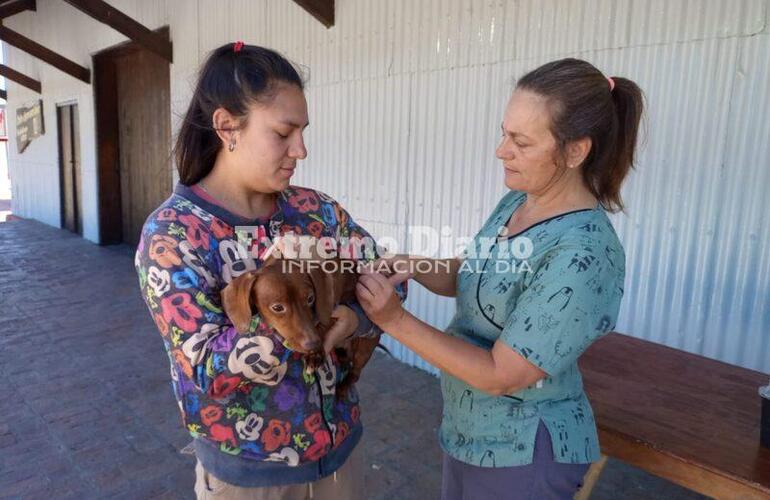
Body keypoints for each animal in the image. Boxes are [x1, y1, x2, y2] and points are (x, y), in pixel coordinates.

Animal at [220, 258, 380, 398]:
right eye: (277, 307)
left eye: (310, 299)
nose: (313, 344)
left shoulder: (331, 309)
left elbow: (322, 324)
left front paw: (315, 355)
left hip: (364, 348)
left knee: (355, 373)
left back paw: (342, 388)